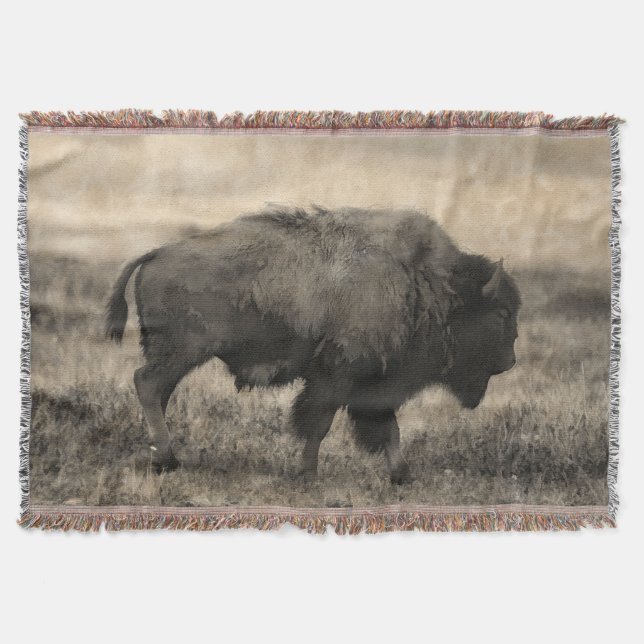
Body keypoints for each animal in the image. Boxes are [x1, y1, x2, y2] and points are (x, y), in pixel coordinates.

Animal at [106, 207, 520, 483]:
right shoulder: (338, 375)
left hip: (173, 355)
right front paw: (307, 472)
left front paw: (402, 475)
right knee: (147, 384)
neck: (426, 285)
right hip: (182, 352)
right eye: (501, 313)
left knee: (157, 392)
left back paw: (160, 458)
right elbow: (319, 423)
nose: (511, 360)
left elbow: (388, 429)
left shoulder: (371, 385)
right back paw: (168, 459)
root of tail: (158, 252)